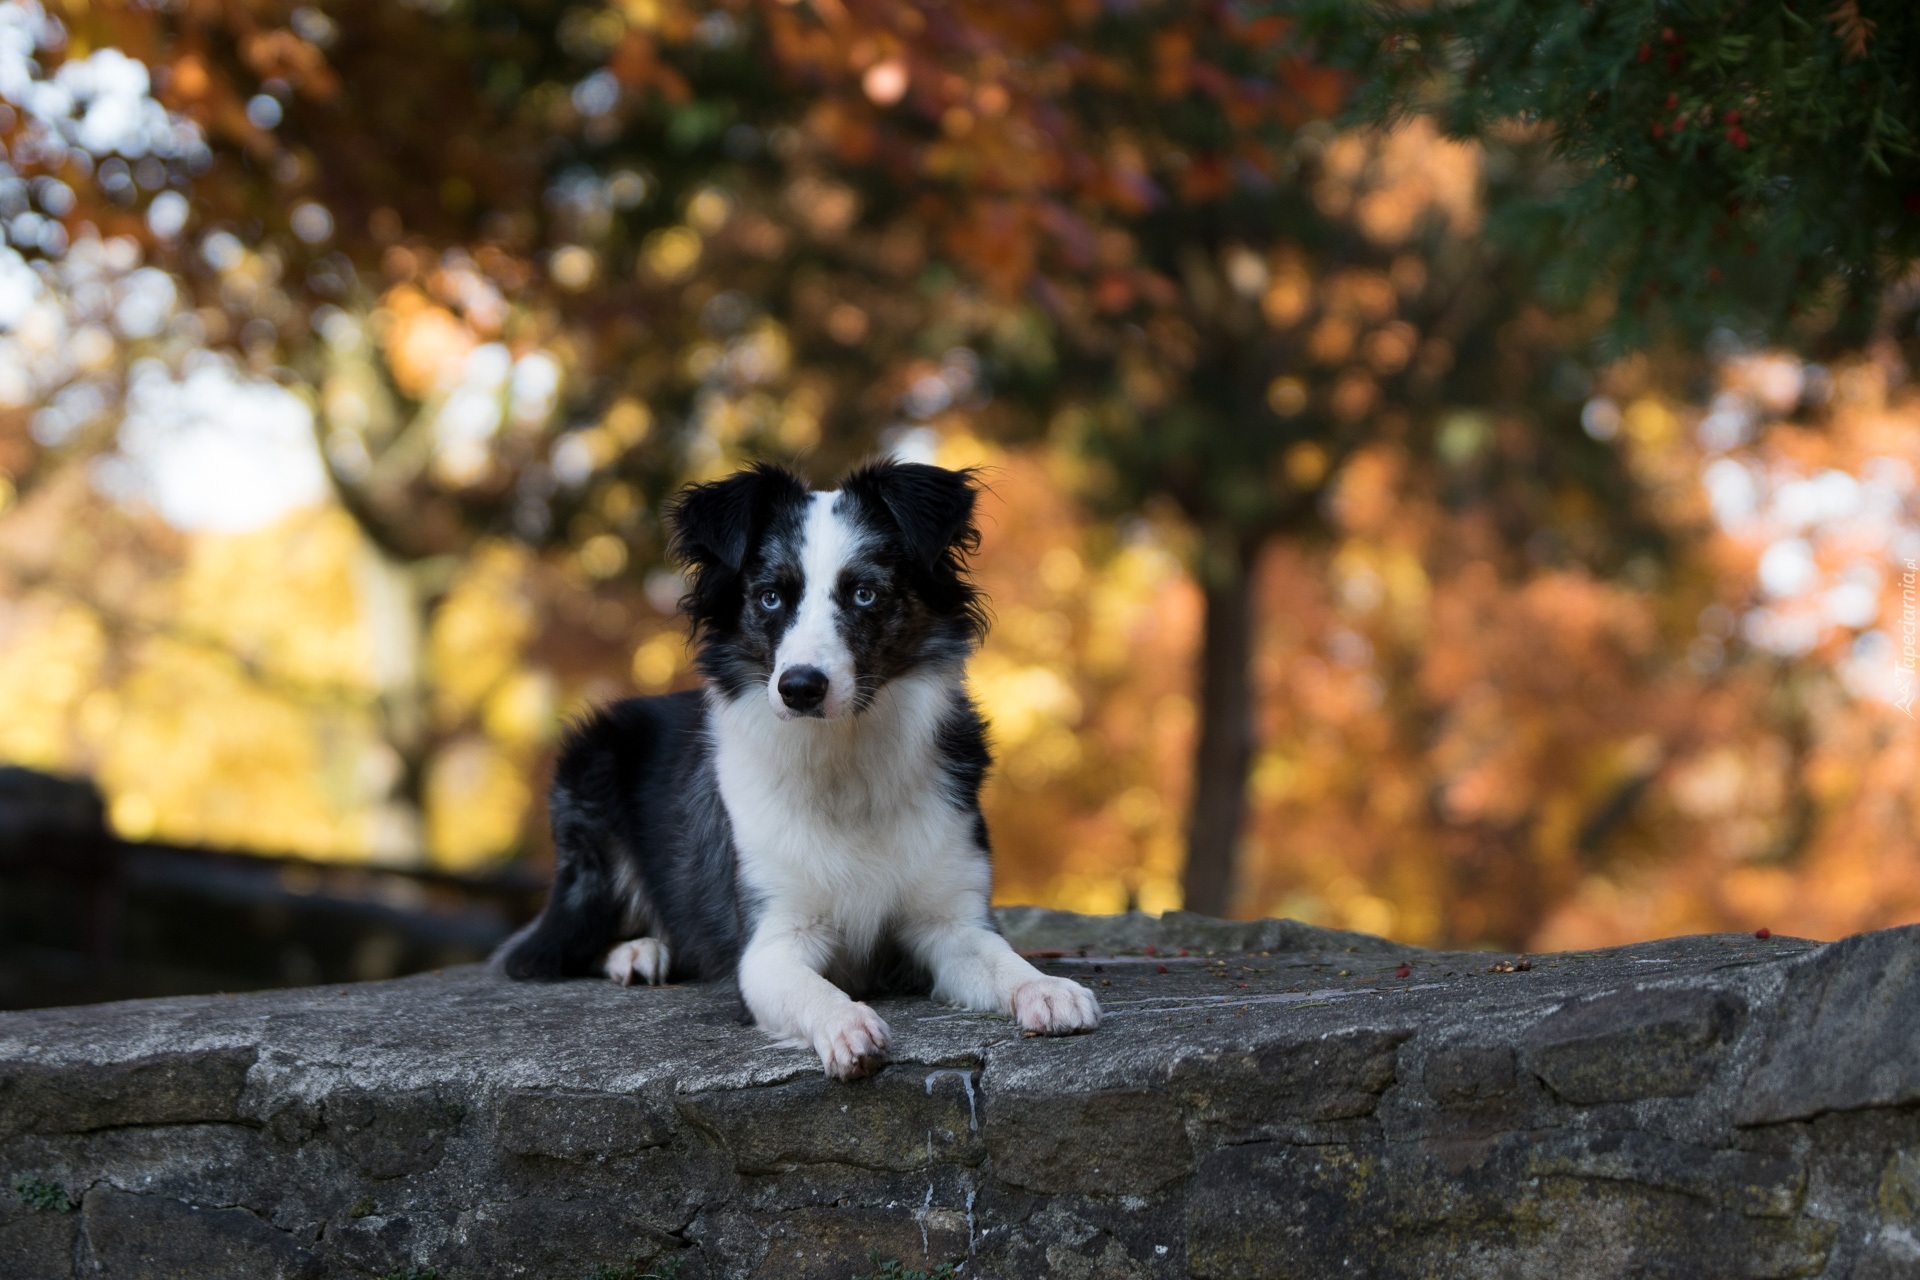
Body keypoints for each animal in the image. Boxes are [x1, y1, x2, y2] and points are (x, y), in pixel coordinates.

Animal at [499, 460, 1098, 1082]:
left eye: (863, 593)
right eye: (769, 598)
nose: (800, 687)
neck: (843, 757)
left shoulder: (950, 920)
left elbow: (1001, 959)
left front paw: (1046, 988)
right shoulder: (770, 942)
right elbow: (814, 989)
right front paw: (847, 1024)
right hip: (590, 791)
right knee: (545, 951)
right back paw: (638, 951)